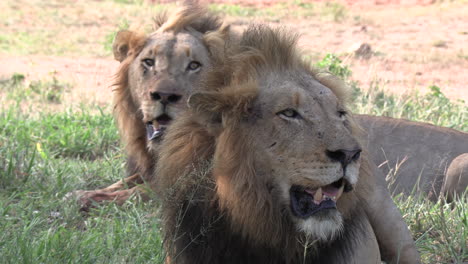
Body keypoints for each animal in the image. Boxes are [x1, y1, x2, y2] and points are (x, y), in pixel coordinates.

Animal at [71, 3, 229, 207]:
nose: (165, 95)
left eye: (194, 65)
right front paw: (83, 193)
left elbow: (139, 191)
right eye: (149, 62)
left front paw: (91, 199)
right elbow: (124, 181)